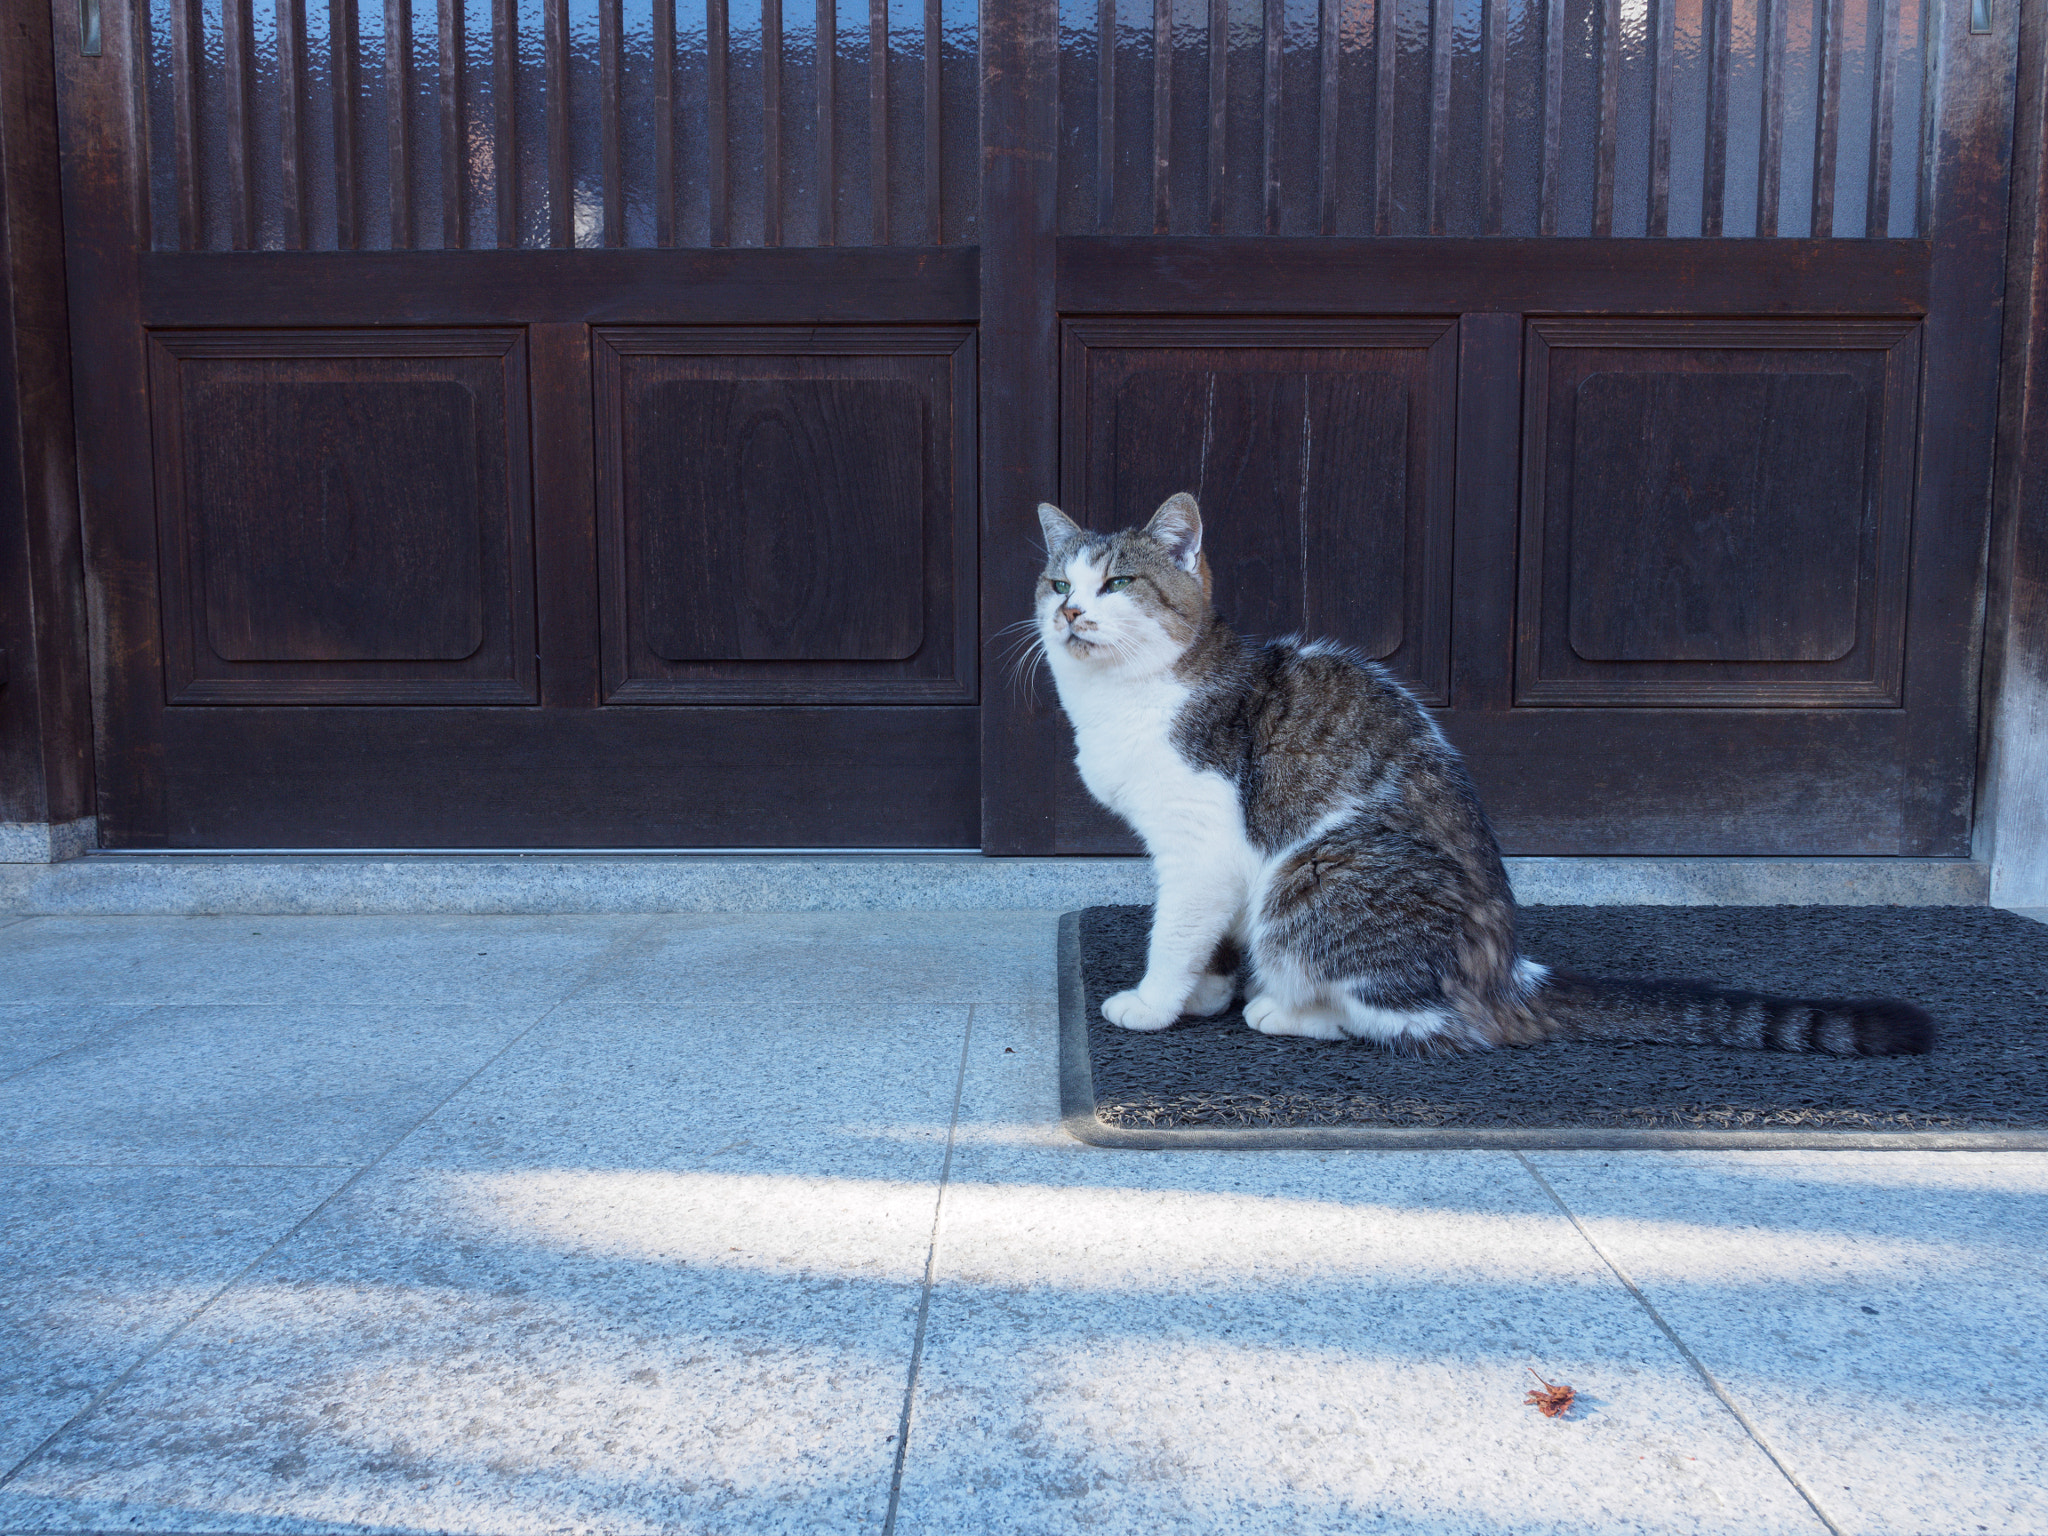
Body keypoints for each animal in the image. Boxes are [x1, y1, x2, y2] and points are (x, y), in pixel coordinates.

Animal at [1040, 493, 1933, 1056]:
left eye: (1117, 582)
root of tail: (1506, 972)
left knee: (1425, 1024)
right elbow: (1213, 941)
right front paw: (1202, 995)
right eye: (1057, 582)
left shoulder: (1202, 846)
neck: (1125, 697)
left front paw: (1155, 1003)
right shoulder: (1214, 861)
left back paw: (1287, 1010)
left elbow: (1176, 931)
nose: (1069, 611)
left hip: (1316, 874)